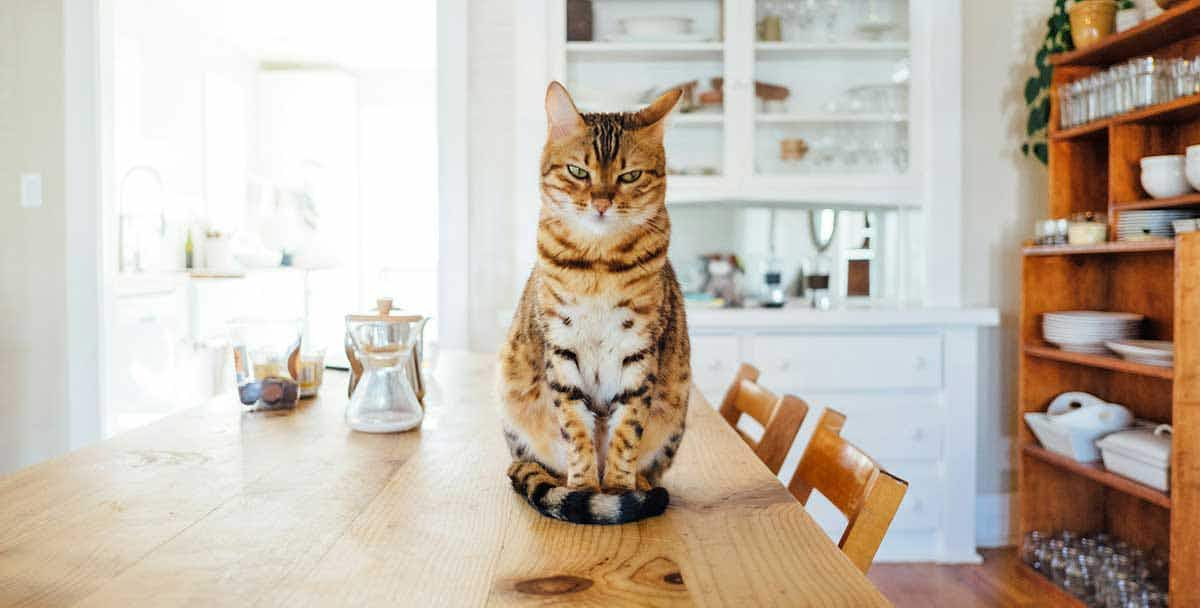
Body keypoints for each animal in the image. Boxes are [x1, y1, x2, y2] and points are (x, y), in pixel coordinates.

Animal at [499, 83, 696, 525]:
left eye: (630, 176)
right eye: (578, 171)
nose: (601, 202)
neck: (599, 265)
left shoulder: (639, 350)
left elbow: (627, 430)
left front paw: (619, 489)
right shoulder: (561, 347)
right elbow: (575, 429)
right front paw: (585, 488)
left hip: (675, 410)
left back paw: (642, 485)